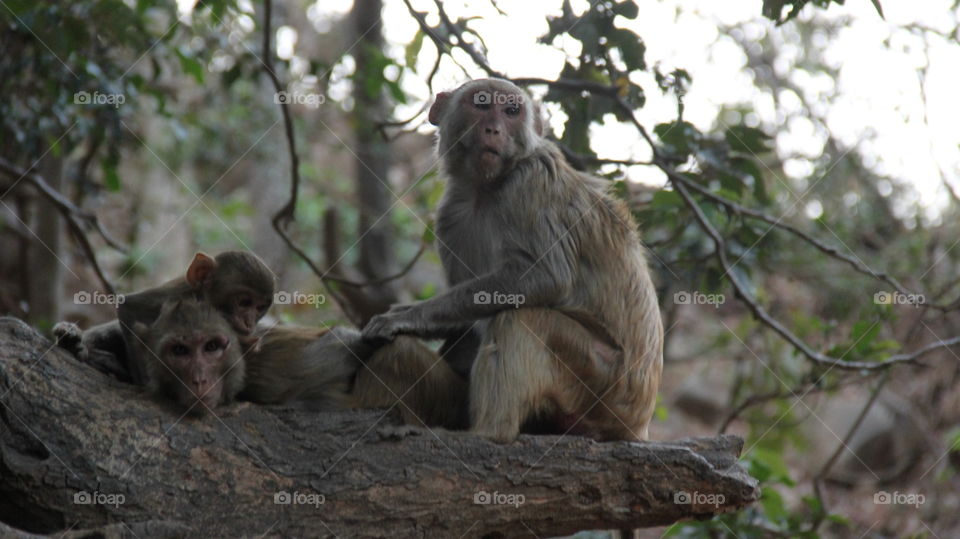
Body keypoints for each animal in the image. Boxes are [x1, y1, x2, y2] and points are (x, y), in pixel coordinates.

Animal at [364, 79, 664, 442]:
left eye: (510, 111)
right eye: (481, 104)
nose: (493, 129)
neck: (486, 189)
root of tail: (637, 423)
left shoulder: (531, 181)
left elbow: (546, 277)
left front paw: (408, 315)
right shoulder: (450, 214)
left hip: (603, 383)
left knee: (523, 318)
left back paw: (487, 433)